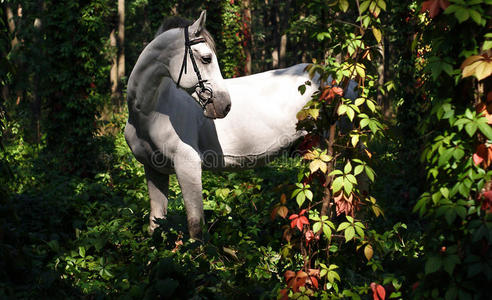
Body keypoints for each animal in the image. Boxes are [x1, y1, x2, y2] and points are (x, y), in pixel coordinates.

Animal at [125, 11, 352, 238]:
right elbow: (155, 224)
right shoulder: (154, 170)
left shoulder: (188, 166)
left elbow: (196, 226)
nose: (225, 105)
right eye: (206, 58)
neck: (151, 113)